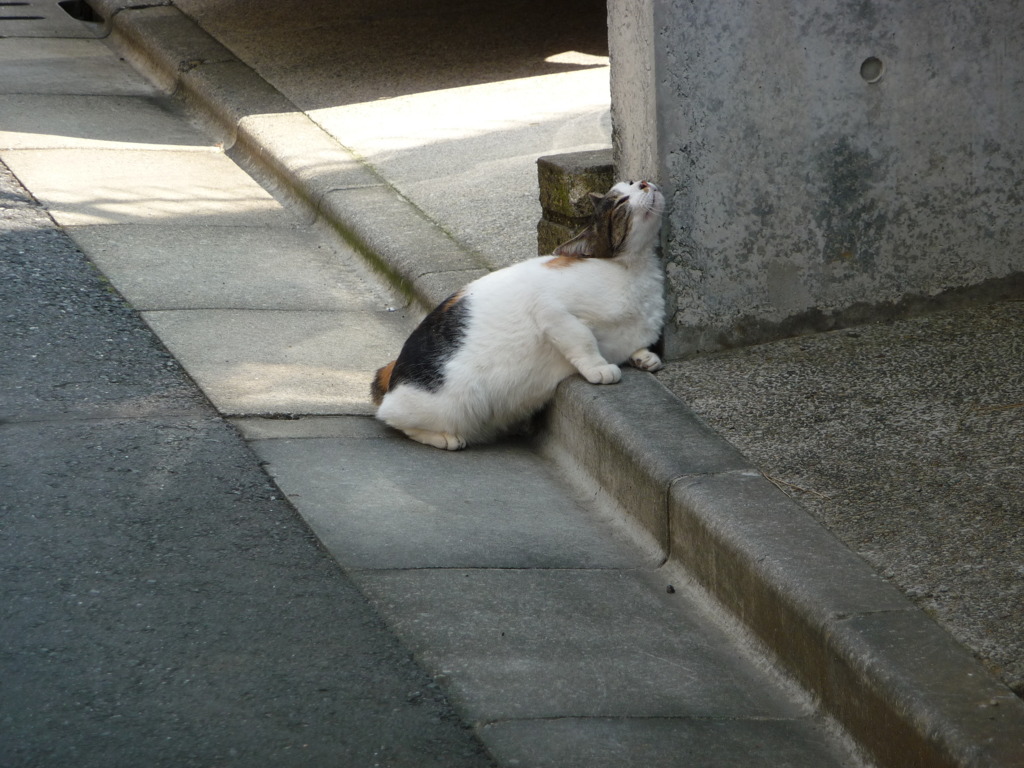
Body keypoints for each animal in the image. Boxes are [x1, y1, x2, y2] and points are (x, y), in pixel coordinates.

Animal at [372, 180, 667, 450]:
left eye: (631, 182)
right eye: (621, 203)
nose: (644, 182)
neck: (634, 271)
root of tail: (394, 370)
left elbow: (632, 343)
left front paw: (644, 357)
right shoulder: (548, 308)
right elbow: (582, 338)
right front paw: (599, 367)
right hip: (453, 403)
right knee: (393, 417)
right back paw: (444, 438)